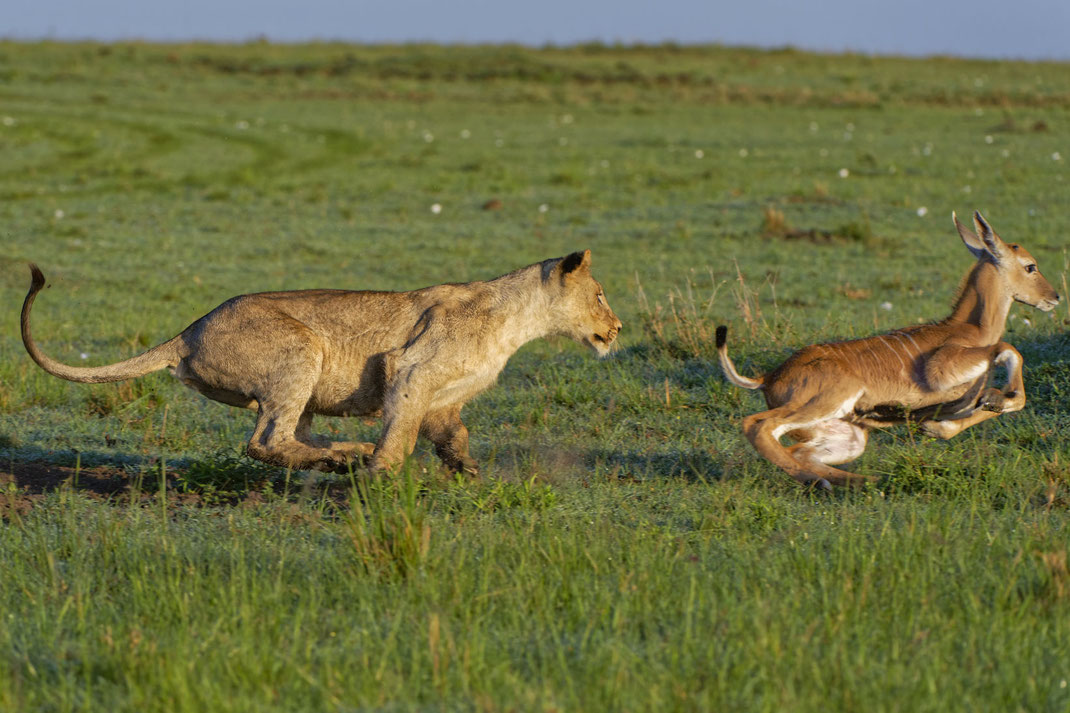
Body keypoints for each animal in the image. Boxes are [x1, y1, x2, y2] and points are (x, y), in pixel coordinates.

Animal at [719, 210, 1061, 488]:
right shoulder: (942, 371)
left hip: (850, 436)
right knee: (758, 426)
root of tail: (768, 378)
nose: (1055, 297)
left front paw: (952, 419)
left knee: (798, 451)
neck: (968, 329)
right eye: (1030, 266)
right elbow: (1009, 351)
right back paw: (825, 482)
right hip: (822, 402)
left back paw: (859, 482)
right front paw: (995, 398)